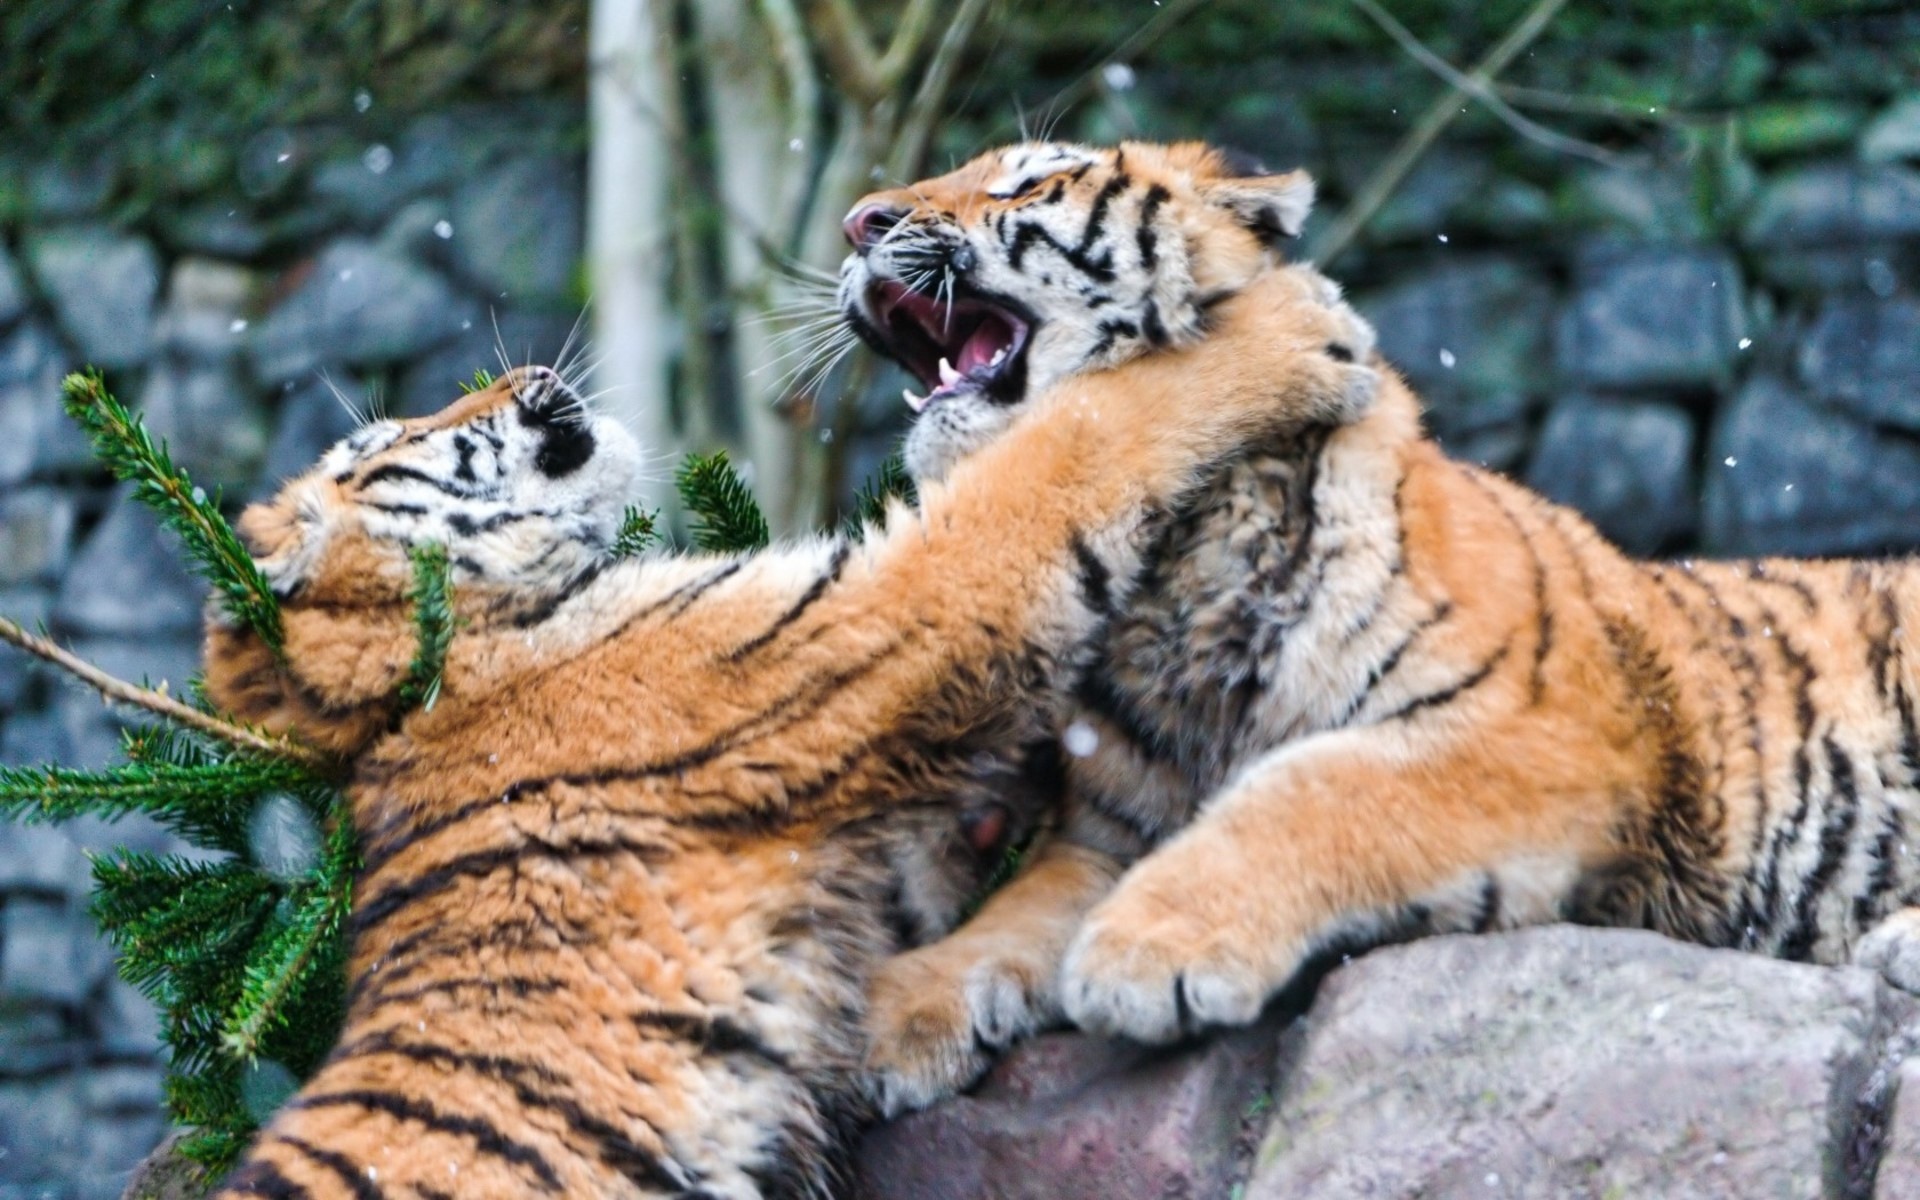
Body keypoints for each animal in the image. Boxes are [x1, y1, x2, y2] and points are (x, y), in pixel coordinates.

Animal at [194, 271, 1380, 1197]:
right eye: (398, 437)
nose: (523, 368)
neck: (435, 662)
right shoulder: (880, 616)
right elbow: (1072, 444)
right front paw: (1288, 322)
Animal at [841, 137, 1920, 1117]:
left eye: (1025, 181)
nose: (859, 223)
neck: (1174, 573)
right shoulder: (1108, 833)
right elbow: (1013, 913)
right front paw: (895, 1020)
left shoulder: (1540, 736)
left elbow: (1313, 790)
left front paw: (1149, 951)